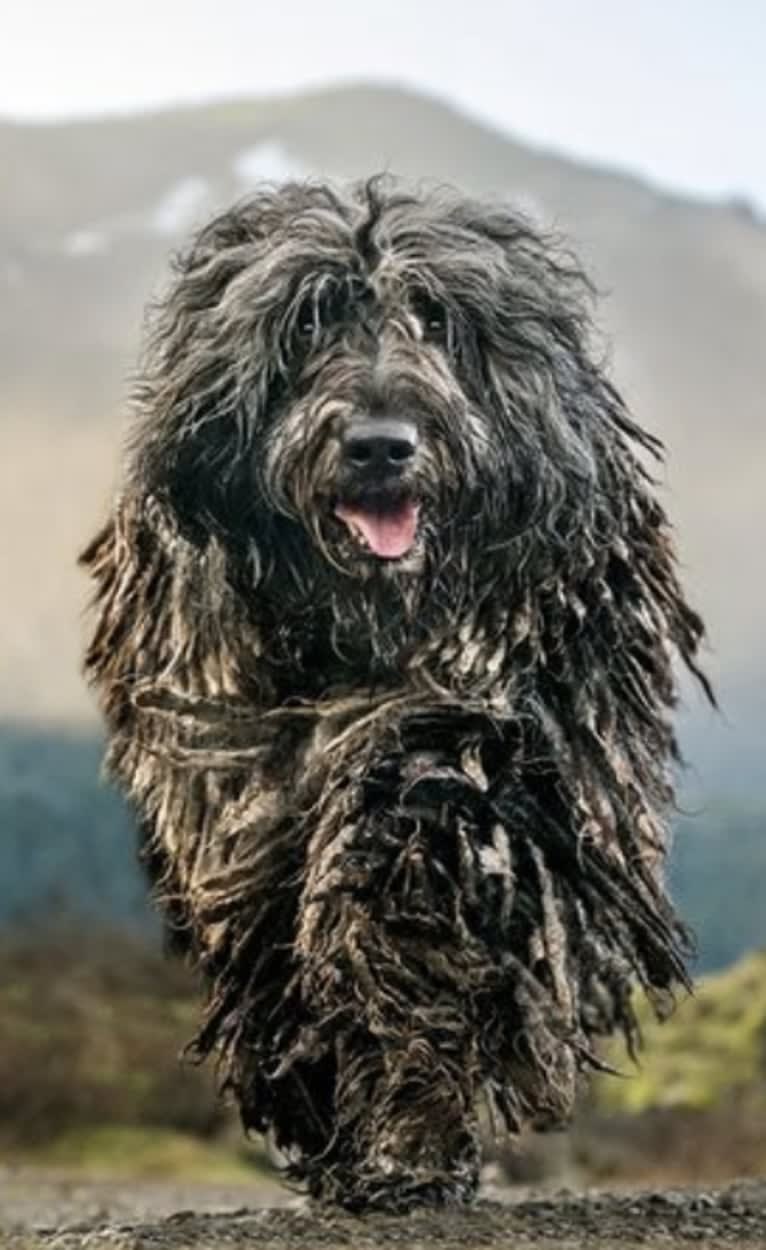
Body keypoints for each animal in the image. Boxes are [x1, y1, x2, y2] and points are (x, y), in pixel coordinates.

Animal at [80, 178, 709, 1210]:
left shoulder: (485, 761)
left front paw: (410, 1139)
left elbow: (417, 913)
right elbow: (276, 945)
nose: (381, 445)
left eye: (439, 319)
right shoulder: (233, 787)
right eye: (307, 320)